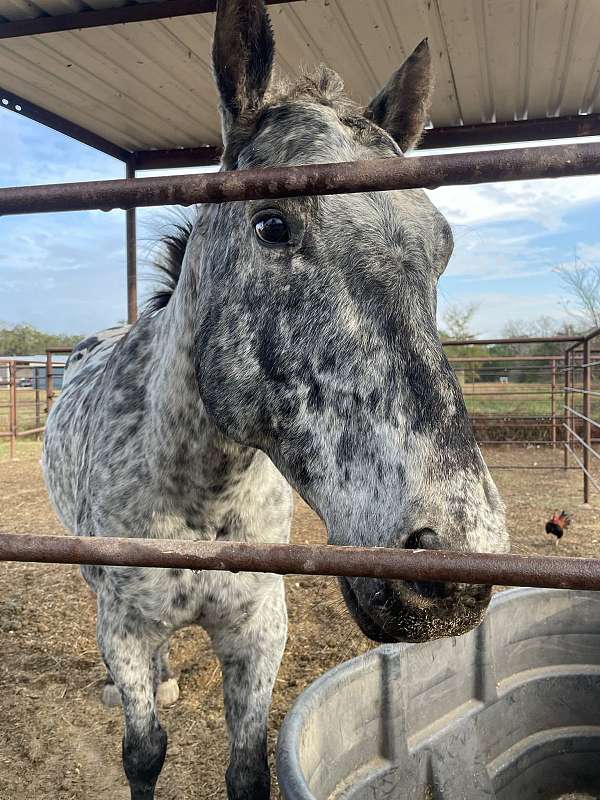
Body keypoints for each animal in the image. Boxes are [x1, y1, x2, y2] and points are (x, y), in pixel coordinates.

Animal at [44, 3, 508, 796]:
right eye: (271, 224)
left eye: (442, 247)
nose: (454, 572)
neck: (202, 496)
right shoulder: (125, 631)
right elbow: (143, 752)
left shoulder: (259, 632)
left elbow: (246, 772)